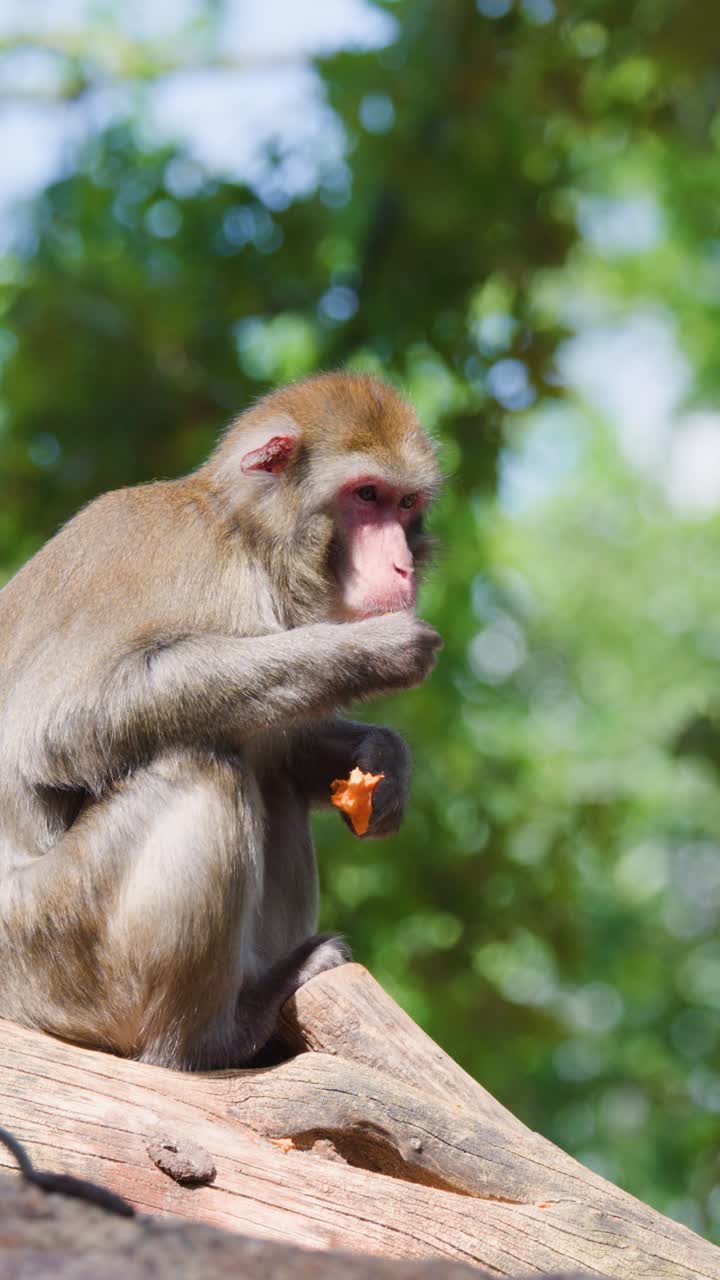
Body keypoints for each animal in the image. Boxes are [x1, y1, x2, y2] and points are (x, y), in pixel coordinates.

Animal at [0, 372, 442, 1069]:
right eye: (366, 496)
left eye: (404, 505)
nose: (400, 567)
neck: (248, 539)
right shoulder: (198, 570)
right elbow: (62, 726)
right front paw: (370, 651)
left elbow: (288, 751)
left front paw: (384, 761)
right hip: (52, 946)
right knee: (201, 767)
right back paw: (209, 1037)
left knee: (266, 777)